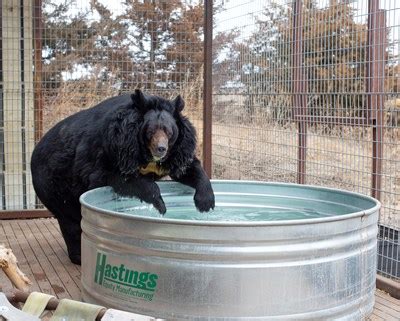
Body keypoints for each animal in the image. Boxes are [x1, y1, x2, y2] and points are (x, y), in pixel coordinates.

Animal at [31, 89, 216, 264]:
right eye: (150, 131)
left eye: (169, 132)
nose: (161, 149)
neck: (146, 154)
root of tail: (34, 154)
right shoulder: (112, 147)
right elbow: (109, 176)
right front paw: (160, 204)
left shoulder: (178, 150)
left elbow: (186, 168)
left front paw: (205, 203)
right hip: (53, 185)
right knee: (70, 221)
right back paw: (79, 256)